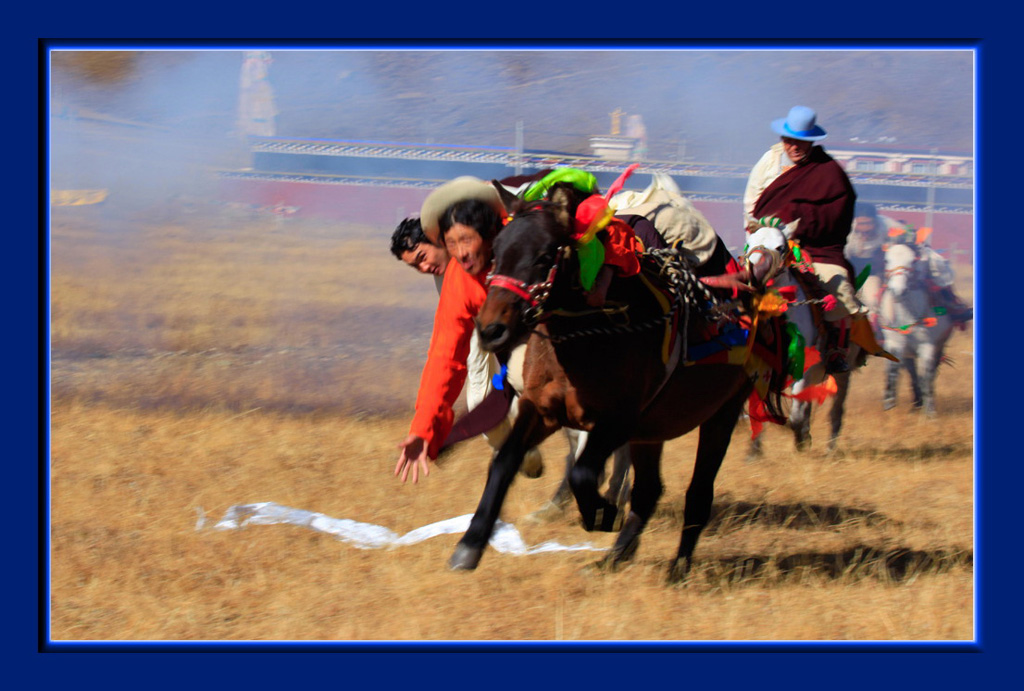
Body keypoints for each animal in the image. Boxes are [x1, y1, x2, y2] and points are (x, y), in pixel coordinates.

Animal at [448, 189, 782, 585]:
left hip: (722, 414)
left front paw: (601, 513)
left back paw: (678, 567)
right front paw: (470, 544)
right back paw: (613, 559)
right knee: (648, 491)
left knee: (698, 493)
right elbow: (504, 463)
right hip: (652, 432)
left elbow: (581, 472)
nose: (490, 330)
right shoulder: (543, 411)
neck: (589, 334)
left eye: (545, 256)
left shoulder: (617, 422)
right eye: (497, 252)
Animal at [876, 243, 954, 415]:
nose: (898, 291)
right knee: (910, 371)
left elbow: (926, 375)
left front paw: (930, 412)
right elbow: (893, 372)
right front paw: (889, 405)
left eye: (912, 260)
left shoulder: (928, 345)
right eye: (886, 260)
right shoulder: (895, 344)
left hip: (938, 346)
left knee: (929, 372)